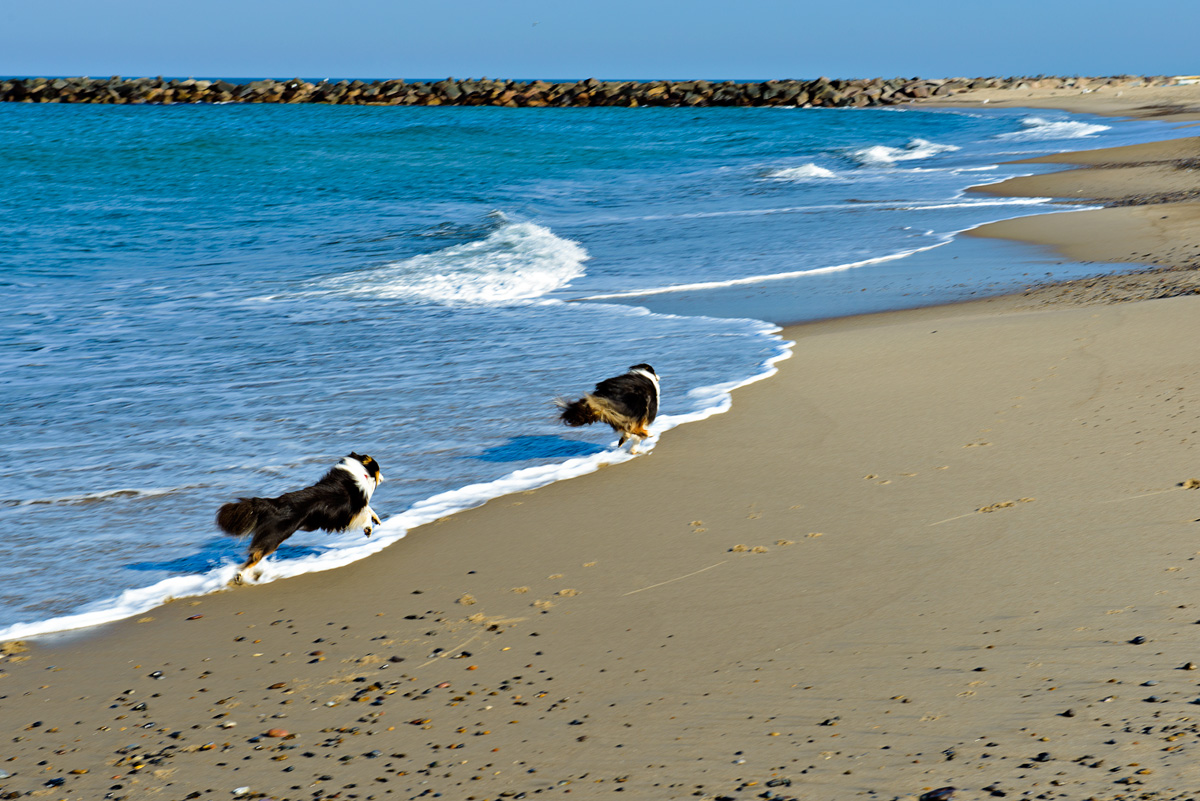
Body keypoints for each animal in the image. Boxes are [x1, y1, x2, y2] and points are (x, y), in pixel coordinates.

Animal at [217, 453, 384, 585]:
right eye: (379, 469)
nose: (383, 478)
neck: (361, 472)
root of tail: (273, 504)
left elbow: (368, 508)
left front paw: (376, 520)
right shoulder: (346, 515)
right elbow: (365, 511)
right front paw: (369, 527)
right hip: (274, 538)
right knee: (255, 556)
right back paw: (239, 575)